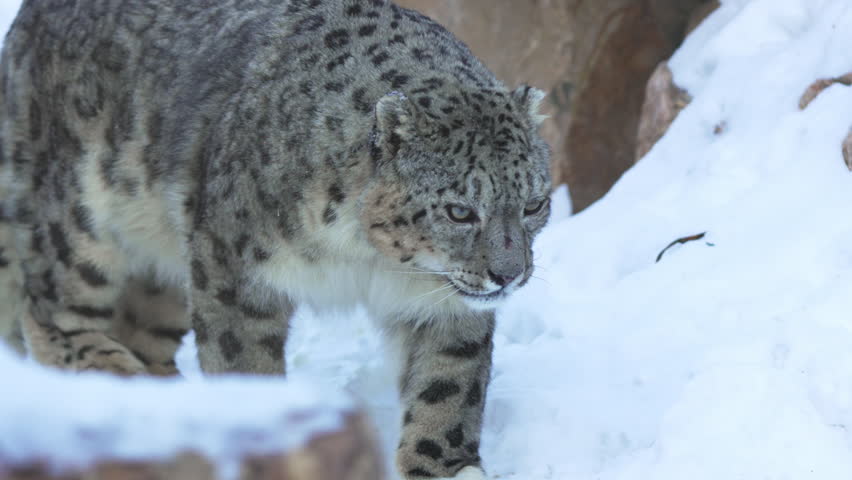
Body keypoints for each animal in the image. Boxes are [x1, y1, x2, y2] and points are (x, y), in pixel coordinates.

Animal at [0, 0, 551, 478]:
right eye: (460, 211)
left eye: (533, 204)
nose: (509, 274)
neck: (371, 259)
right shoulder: (234, 269)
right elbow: (244, 363)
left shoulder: (443, 304)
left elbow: (447, 385)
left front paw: (448, 469)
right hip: (77, 213)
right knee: (51, 311)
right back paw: (119, 379)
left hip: (171, 260)